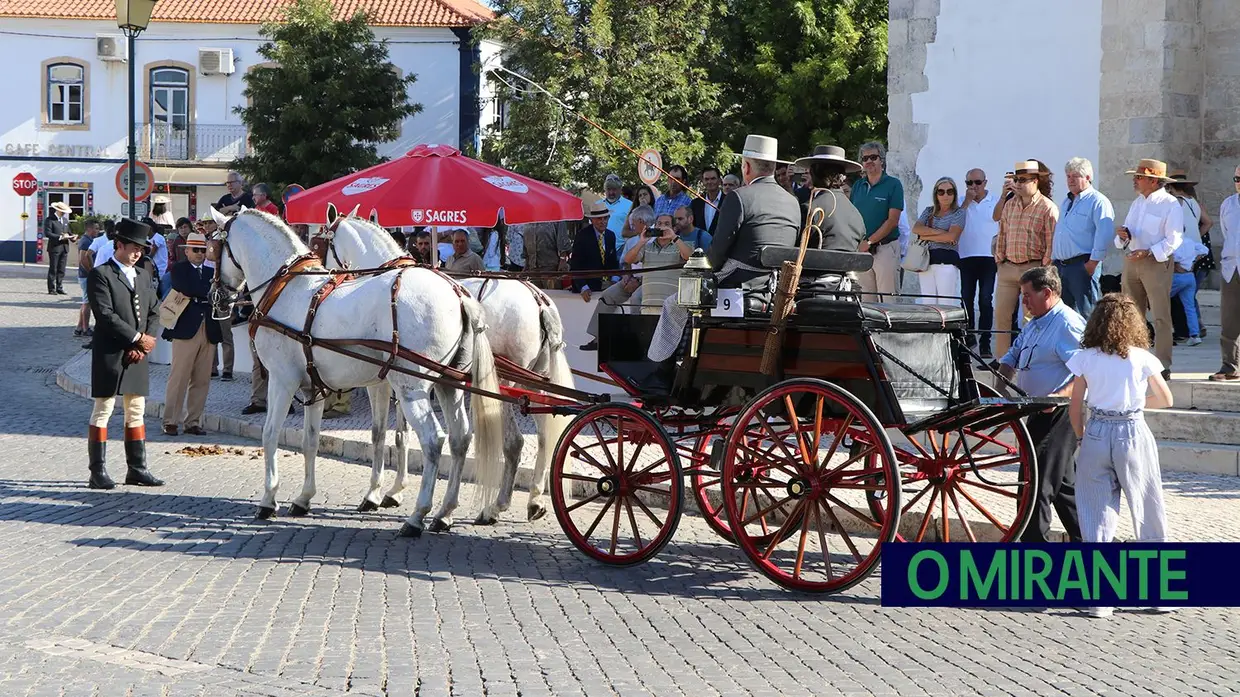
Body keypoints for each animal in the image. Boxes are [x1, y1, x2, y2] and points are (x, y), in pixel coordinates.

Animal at [208, 203, 503, 533]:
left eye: (212, 247)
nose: (216, 297)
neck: (287, 289)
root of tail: (457, 293)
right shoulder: (314, 387)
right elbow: (312, 440)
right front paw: (304, 498)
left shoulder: (282, 381)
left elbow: (270, 434)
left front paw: (268, 500)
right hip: (448, 385)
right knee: (460, 438)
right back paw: (445, 512)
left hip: (412, 388)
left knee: (432, 440)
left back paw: (418, 516)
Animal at [317, 214, 572, 518]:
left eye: (321, 243)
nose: (325, 282)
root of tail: (537, 297)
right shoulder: (404, 380)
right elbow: (402, 434)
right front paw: (395, 490)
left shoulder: (383, 381)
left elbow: (381, 434)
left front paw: (375, 494)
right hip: (534, 379)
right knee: (546, 435)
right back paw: (535, 498)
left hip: (504, 385)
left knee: (514, 442)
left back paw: (496, 506)